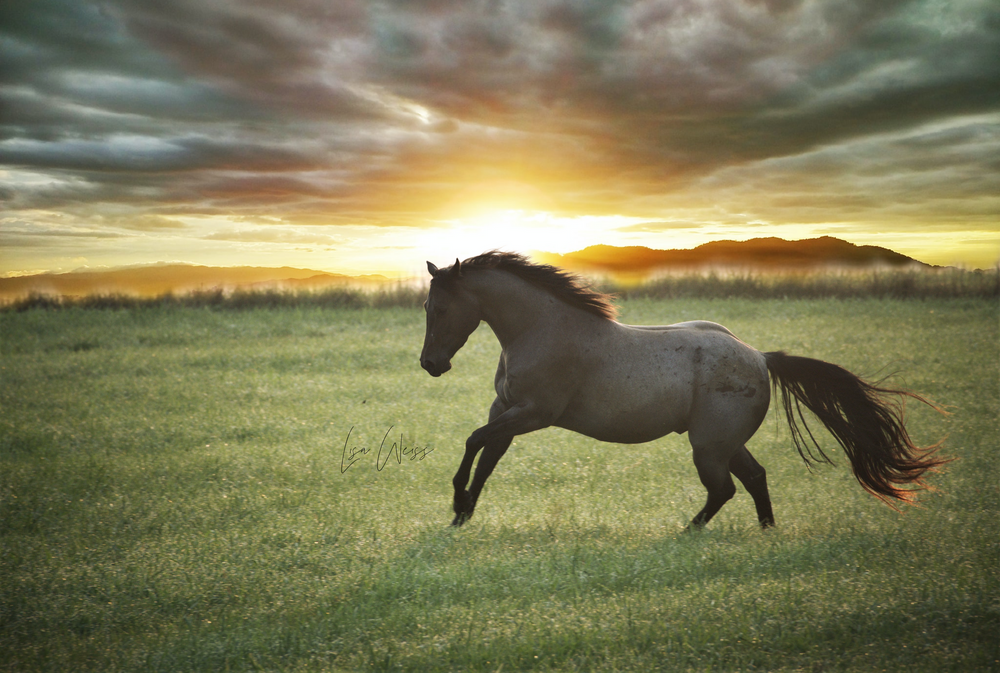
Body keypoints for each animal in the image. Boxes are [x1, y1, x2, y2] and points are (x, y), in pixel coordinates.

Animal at [419, 251, 947, 530]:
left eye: (438, 308)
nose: (430, 364)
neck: (541, 329)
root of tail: (761, 358)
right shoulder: (506, 409)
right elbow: (487, 455)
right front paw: (462, 513)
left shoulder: (534, 413)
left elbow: (473, 440)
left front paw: (456, 502)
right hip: (725, 442)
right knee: (754, 479)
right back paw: (766, 532)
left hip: (708, 446)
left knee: (724, 489)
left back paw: (687, 533)